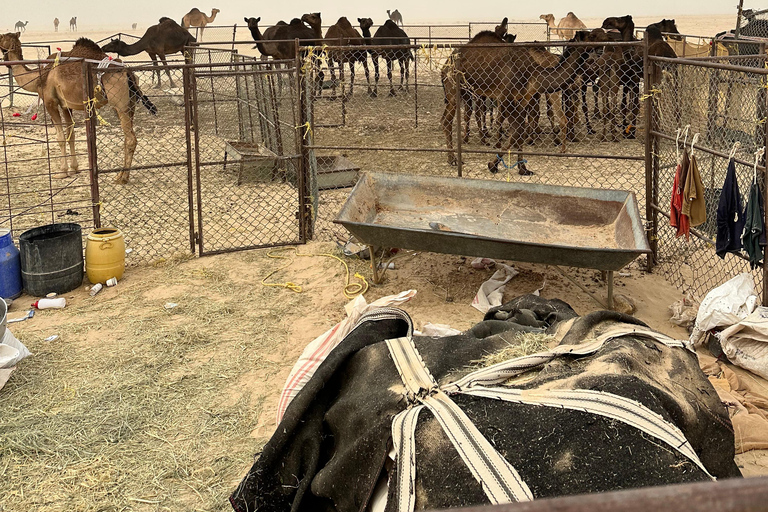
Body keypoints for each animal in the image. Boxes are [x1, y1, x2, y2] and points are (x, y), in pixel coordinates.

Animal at [0, 32, 156, 184]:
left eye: (1, 37)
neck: (38, 78)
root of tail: (127, 72)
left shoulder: (50, 102)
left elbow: (60, 138)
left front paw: (62, 172)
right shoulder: (65, 105)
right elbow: (71, 135)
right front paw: (74, 168)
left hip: (120, 103)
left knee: (130, 138)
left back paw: (122, 178)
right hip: (130, 103)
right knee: (128, 136)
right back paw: (121, 175)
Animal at [440, 30, 592, 174]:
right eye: (590, 36)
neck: (533, 74)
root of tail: (445, 64)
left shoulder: (523, 100)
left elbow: (519, 131)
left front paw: (523, 169)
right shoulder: (506, 98)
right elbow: (514, 131)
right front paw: (492, 165)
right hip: (454, 87)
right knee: (447, 120)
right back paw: (453, 159)